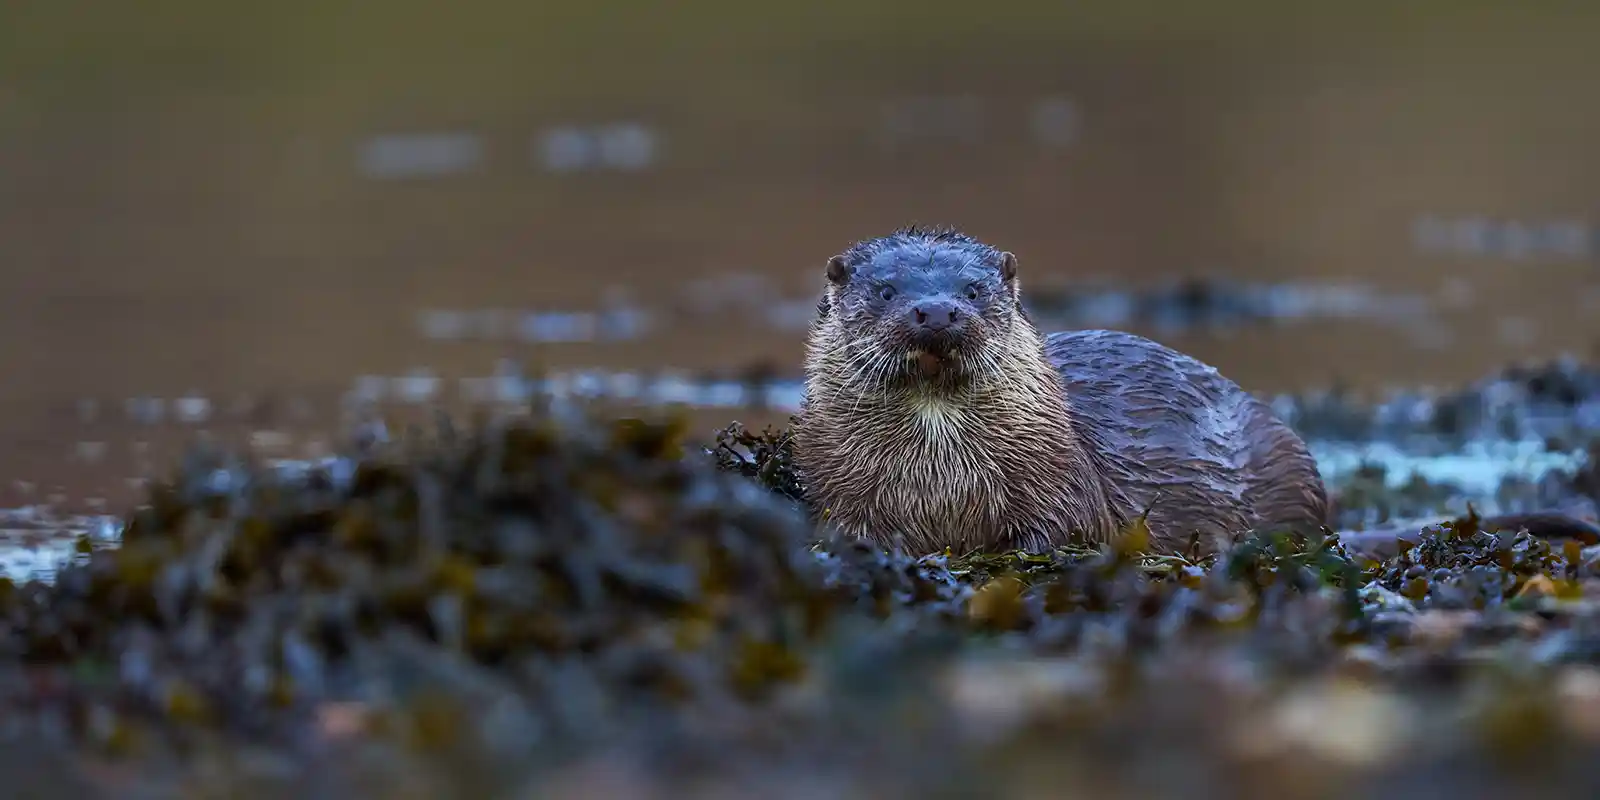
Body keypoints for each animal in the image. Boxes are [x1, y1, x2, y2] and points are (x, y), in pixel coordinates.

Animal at [792, 226, 1600, 557]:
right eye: (887, 289)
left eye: (973, 289)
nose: (937, 311)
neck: (939, 486)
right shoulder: (834, 487)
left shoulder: (1064, 487)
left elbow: (1057, 534)